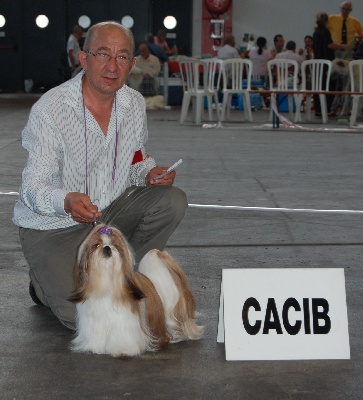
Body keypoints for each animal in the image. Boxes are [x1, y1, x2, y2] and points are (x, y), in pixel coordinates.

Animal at [68, 223, 205, 358]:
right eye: (96, 245)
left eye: (115, 246)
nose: (107, 248)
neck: (106, 282)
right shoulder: (95, 321)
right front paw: (95, 348)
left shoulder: (123, 322)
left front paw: (122, 350)